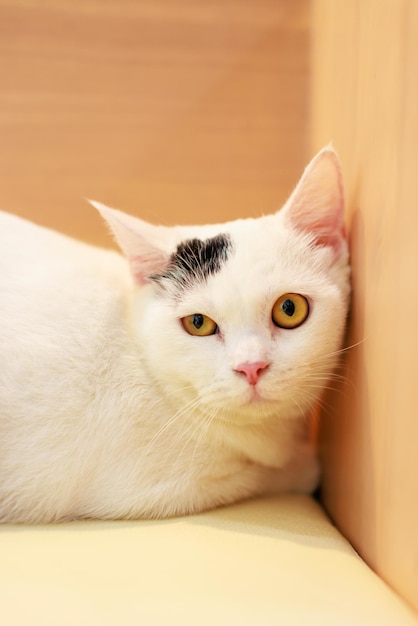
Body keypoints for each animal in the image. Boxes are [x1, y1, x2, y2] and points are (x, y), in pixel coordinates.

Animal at [0, 147, 350, 520]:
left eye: (289, 308)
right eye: (198, 323)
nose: (251, 367)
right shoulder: (157, 488)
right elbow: (261, 475)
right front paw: (303, 463)